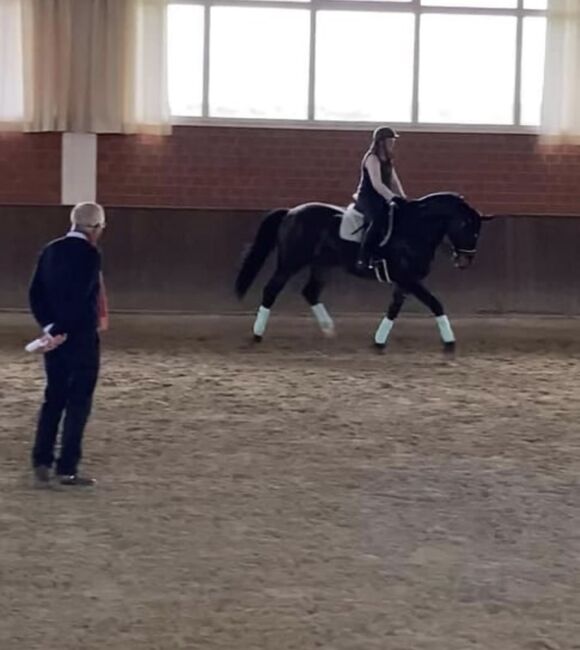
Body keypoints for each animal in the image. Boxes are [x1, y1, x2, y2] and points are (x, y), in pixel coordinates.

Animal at [236, 192, 484, 350]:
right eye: (464, 225)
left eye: (477, 230)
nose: (465, 260)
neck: (415, 230)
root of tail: (291, 212)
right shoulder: (408, 278)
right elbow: (435, 303)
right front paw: (450, 342)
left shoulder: (404, 282)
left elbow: (394, 308)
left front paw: (379, 341)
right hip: (290, 262)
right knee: (271, 290)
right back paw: (257, 334)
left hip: (322, 264)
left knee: (310, 292)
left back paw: (329, 330)